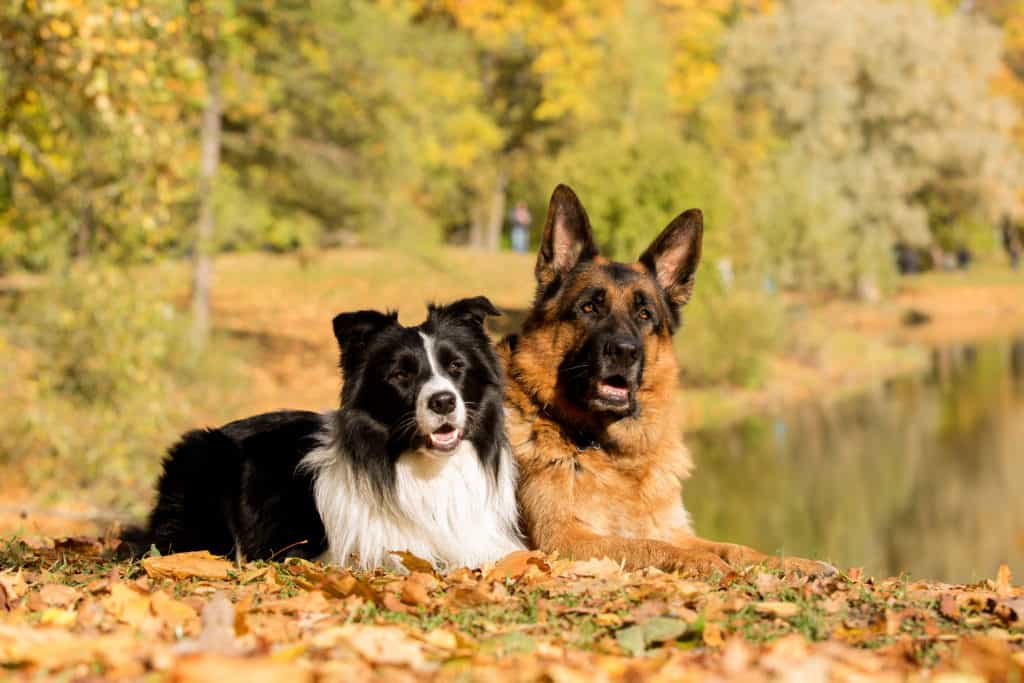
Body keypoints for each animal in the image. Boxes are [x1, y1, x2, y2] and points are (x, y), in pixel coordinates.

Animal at [499, 183, 827, 577]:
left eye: (644, 314)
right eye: (588, 308)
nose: (625, 351)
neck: (610, 451)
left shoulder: (674, 528)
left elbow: (737, 548)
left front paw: (794, 562)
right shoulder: (563, 540)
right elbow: (646, 545)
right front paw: (701, 561)